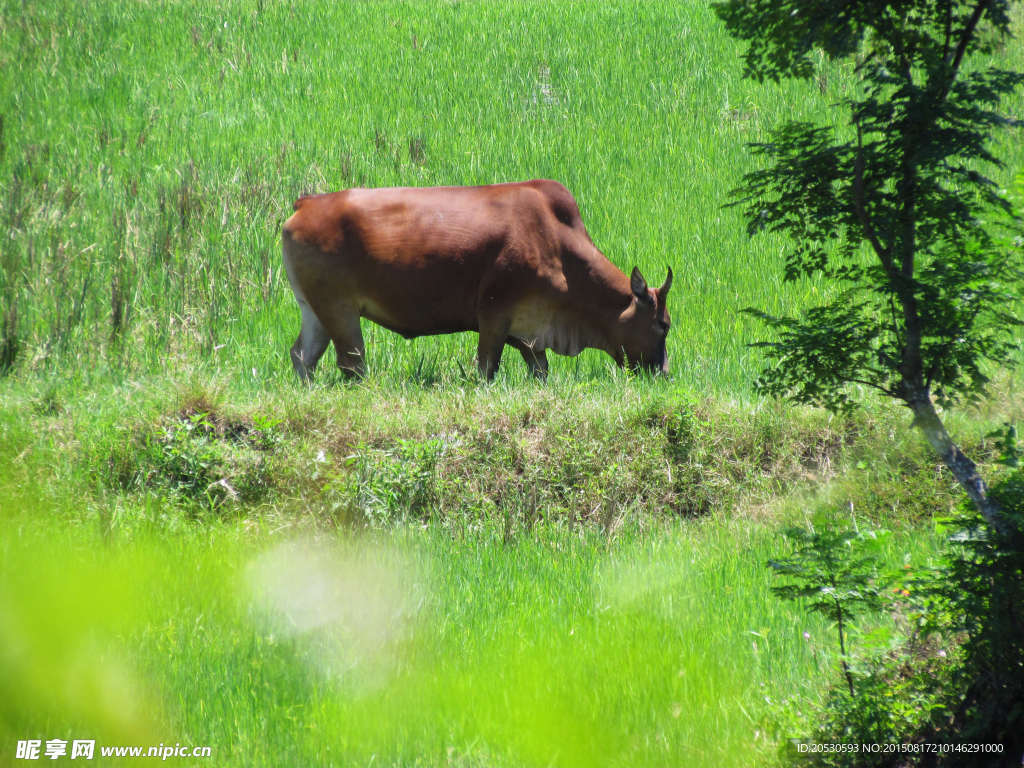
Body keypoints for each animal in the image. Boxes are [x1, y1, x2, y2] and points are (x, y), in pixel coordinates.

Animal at [280, 181, 675, 385]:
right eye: (663, 324)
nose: (665, 373)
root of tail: (307, 203)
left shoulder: (531, 335)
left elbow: (540, 371)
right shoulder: (494, 315)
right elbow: (487, 368)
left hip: (315, 310)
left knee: (303, 356)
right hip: (339, 309)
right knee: (352, 364)